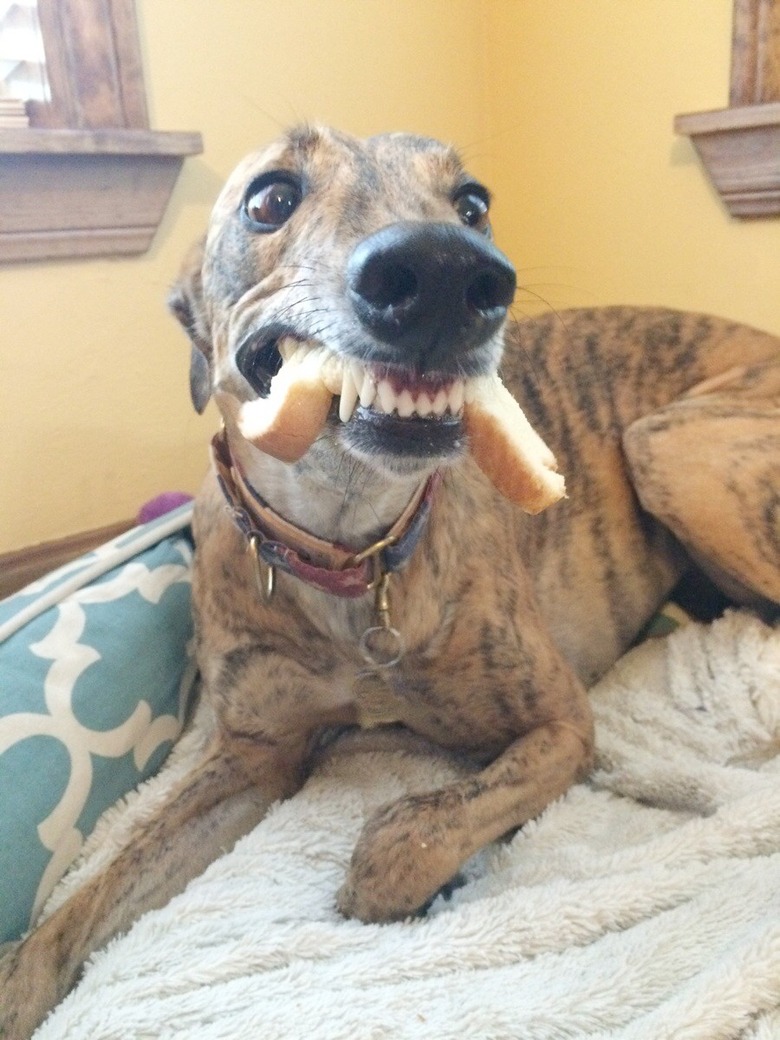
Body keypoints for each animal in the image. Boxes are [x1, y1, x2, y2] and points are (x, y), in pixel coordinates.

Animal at [1, 125, 780, 1035]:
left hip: (669, 446)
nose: (448, 272)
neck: (350, 553)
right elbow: (99, 888)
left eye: (473, 203)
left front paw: (402, 863)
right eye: (270, 196)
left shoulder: (561, 724)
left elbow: (409, 841)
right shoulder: (253, 757)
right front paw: (22, 980)